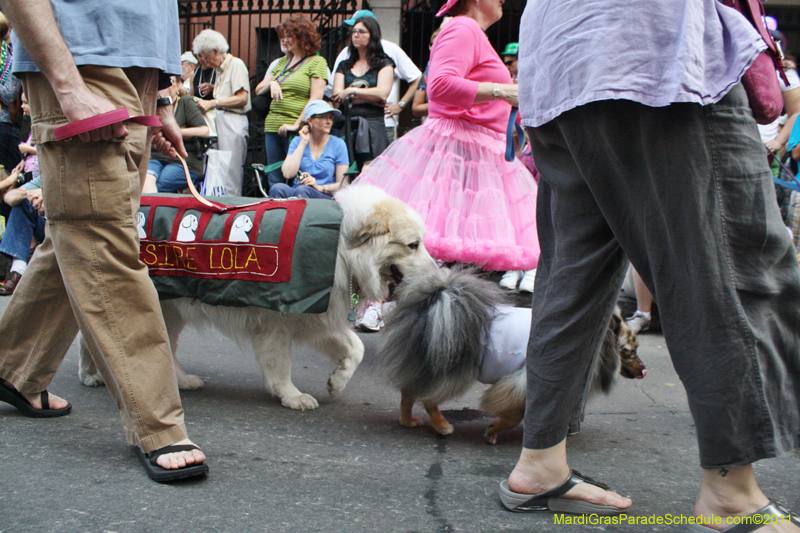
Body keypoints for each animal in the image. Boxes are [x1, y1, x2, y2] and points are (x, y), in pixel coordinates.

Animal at [81, 185, 438, 410]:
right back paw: (92, 374)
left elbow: (356, 348)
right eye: (413, 245)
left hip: (170, 310)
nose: (437, 273)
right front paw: (291, 396)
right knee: (93, 339)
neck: (339, 244)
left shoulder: (314, 318)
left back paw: (180, 381)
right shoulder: (276, 324)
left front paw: (337, 381)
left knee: (166, 346)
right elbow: (280, 366)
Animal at [378, 266, 648, 444]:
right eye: (631, 351)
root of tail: (433, 306)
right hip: (455, 369)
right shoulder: (525, 380)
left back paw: (407, 420)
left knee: (409, 391)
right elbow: (514, 414)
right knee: (427, 398)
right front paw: (494, 429)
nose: (644, 369)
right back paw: (443, 426)